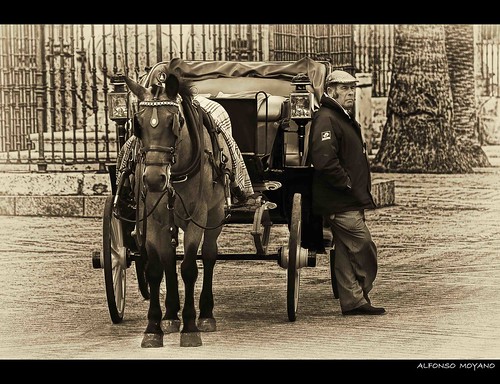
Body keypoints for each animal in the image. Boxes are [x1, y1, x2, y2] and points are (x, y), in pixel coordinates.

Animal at [125, 67, 234, 346]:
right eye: (139, 124)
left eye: (175, 123)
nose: (154, 179)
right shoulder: (153, 219)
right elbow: (155, 269)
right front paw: (154, 327)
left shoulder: (198, 217)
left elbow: (189, 269)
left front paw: (191, 327)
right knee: (166, 259)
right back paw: (171, 315)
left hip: (214, 216)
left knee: (209, 255)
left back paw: (205, 314)